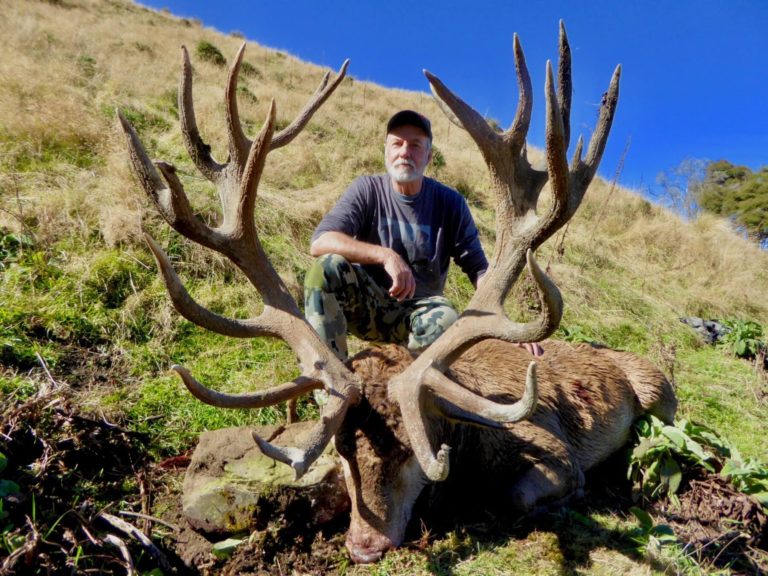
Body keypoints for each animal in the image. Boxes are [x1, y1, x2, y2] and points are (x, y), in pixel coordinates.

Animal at [118, 23, 677, 564]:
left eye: (414, 450)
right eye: (342, 450)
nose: (365, 547)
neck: (467, 437)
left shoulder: (551, 447)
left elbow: (518, 495)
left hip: (657, 388)